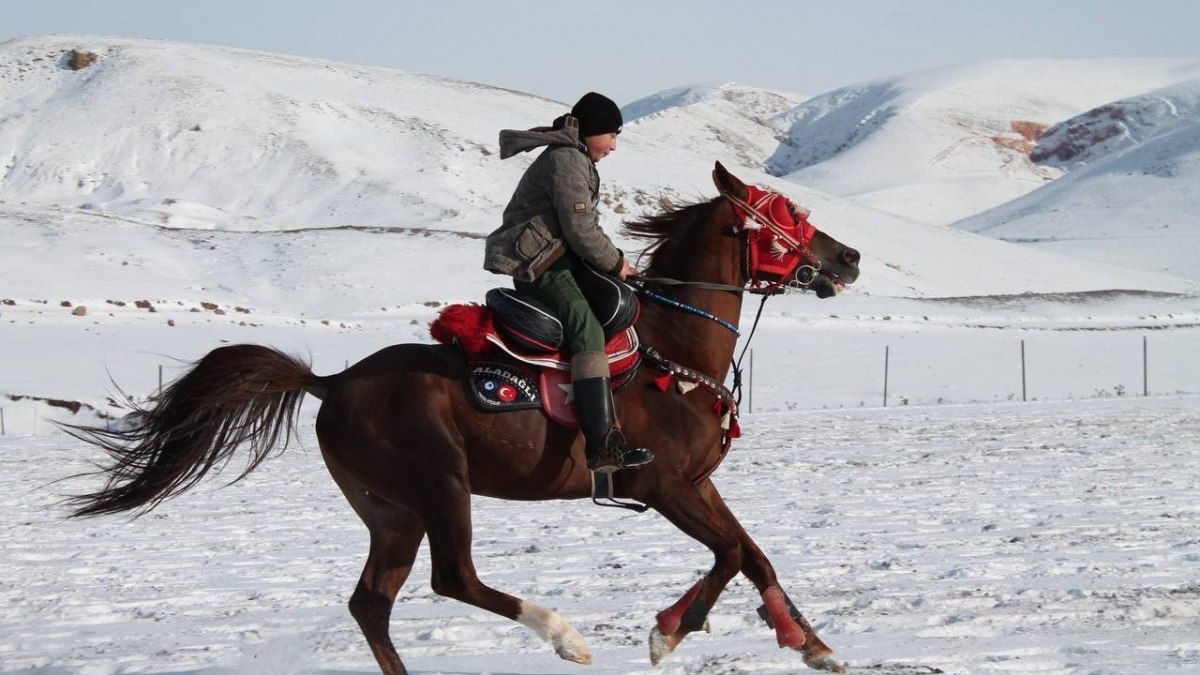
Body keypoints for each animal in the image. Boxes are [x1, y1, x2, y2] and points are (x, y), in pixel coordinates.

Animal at [65, 159, 859, 667]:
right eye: (787, 216)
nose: (849, 257)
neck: (675, 350)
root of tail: (332, 382)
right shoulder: (661, 485)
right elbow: (728, 555)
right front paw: (669, 632)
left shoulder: (698, 483)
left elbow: (753, 553)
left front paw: (812, 644)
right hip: (441, 486)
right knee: (454, 579)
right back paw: (564, 635)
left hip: (392, 512)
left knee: (371, 604)